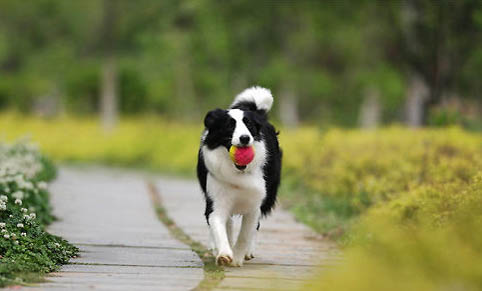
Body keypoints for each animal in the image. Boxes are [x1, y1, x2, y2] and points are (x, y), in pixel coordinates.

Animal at [197, 86, 282, 266]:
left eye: (248, 125)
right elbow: (217, 224)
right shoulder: (216, 200)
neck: (238, 171)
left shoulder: (255, 203)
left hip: (269, 194)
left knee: (255, 227)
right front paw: (223, 254)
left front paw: (237, 257)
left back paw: (248, 252)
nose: (244, 138)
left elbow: (246, 233)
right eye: (230, 126)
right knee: (227, 223)